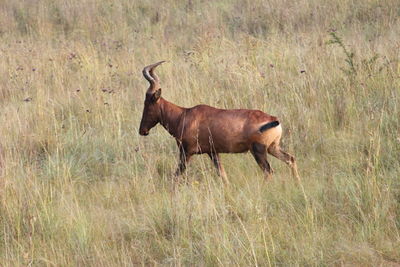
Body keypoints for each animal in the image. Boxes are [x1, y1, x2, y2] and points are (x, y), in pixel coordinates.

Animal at [139, 61, 298, 183]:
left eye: (147, 103)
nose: (142, 130)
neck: (184, 115)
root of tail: (273, 119)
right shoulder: (213, 152)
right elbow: (223, 175)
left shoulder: (186, 152)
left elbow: (177, 175)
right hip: (272, 148)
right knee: (290, 159)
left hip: (259, 150)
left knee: (269, 172)